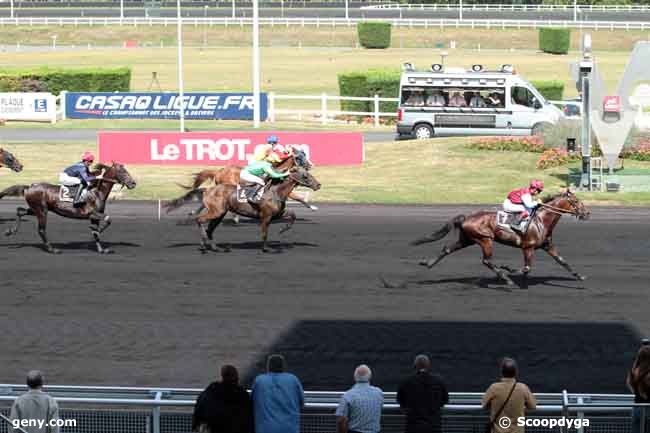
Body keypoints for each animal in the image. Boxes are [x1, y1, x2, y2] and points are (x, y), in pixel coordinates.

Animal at [0, 164, 135, 255]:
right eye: (122, 171)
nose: (133, 183)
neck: (96, 191)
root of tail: (29, 187)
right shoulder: (91, 214)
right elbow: (108, 219)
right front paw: (96, 232)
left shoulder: (95, 217)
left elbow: (97, 232)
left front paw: (101, 248)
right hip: (41, 211)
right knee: (41, 230)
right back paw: (52, 249)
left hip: (35, 209)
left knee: (20, 210)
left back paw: (10, 231)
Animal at [166, 166, 320, 253]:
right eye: (305, 175)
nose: (318, 185)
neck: (275, 191)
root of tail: (207, 190)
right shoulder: (266, 216)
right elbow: (264, 234)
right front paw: (266, 249)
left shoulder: (277, 214)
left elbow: (293, 215)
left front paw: (283, 230)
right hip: (216, 212)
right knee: (199, 220)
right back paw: (203, 246)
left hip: (219, 214)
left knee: (210, 229)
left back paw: (216, 248)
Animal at [184, 147, 316, 211]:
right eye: (299, 157)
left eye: (305, 155)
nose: (310, 165)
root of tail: (219, 171)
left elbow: (299, 198)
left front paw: (313, 207)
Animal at [412, 191, 588, 288]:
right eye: (576, 201)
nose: (587, 213)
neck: (541, 220)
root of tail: (466, 217)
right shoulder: (528, 247)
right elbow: (526, 268)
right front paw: (508, 269)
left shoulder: (547, 245)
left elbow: (562, 261)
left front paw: (580, 276)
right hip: (485, 239)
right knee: (486, 261)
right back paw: (505, 278)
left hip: (467, 239)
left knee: (447, 249)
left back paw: (427, 263)